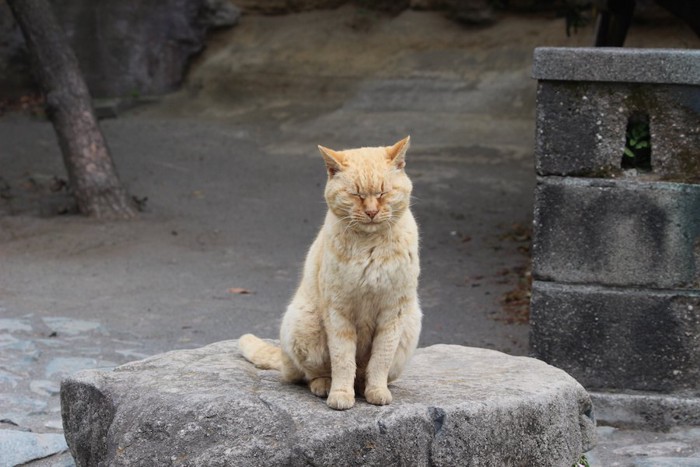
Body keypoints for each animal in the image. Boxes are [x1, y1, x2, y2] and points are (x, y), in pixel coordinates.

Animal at [239, 137, 422, 412]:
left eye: (383, 192)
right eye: (356, 194)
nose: (371, 212)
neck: (370, 246)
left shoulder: (394, 312)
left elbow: (380, 360)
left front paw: (377, 391)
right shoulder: (339, 311)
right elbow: (343, 360)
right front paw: (340, 395)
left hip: (411, 322)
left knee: (364, 374)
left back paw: (364, 387)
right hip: (305, 322)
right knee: (310, 374)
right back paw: (325, 385)